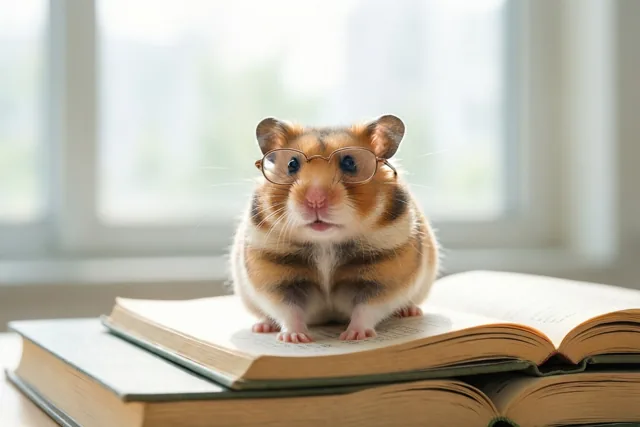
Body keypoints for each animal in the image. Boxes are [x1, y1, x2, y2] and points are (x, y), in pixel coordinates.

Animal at [230, 114, 439, 343]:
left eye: (349, 163)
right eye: (292, 164)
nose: (315, 200)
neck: (325, 242)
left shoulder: (385, 278)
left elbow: (367, 308)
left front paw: (354, 336)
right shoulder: (275, 278)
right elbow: (288, 310)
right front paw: (295, 338)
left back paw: (410, 312)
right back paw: (262, 327)